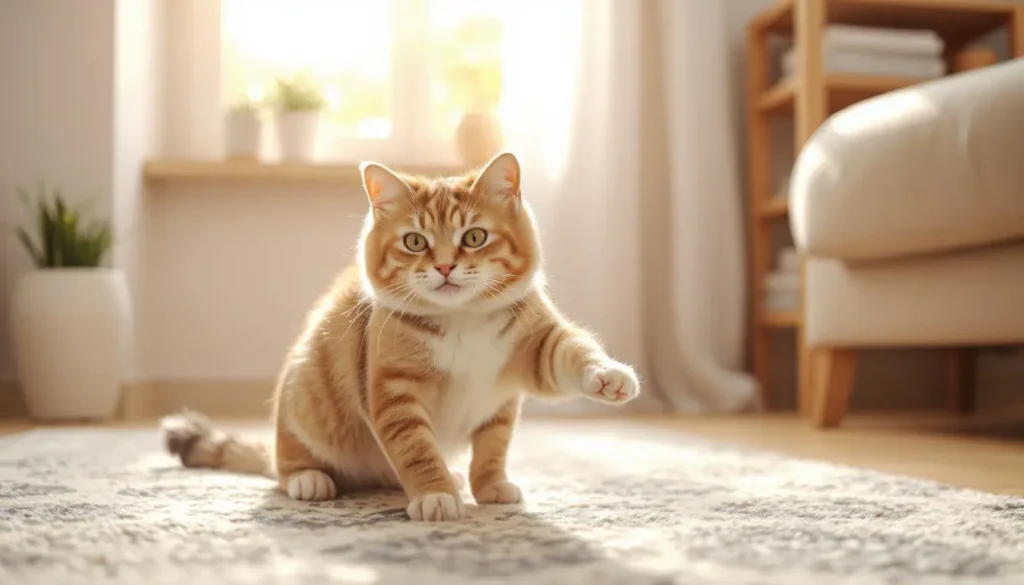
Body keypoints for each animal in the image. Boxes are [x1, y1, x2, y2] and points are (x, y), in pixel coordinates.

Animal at [157, 153, 638, 524]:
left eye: (475, 236)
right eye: (415, 241)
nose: (444, 266)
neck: (461, 321)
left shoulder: (528, 353)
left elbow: (506, 430)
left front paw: (607, 377)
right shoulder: (393, 390)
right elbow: (415, 450)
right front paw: (434, 495)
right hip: (300, 403)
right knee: (284, 465)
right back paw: (309, 479)